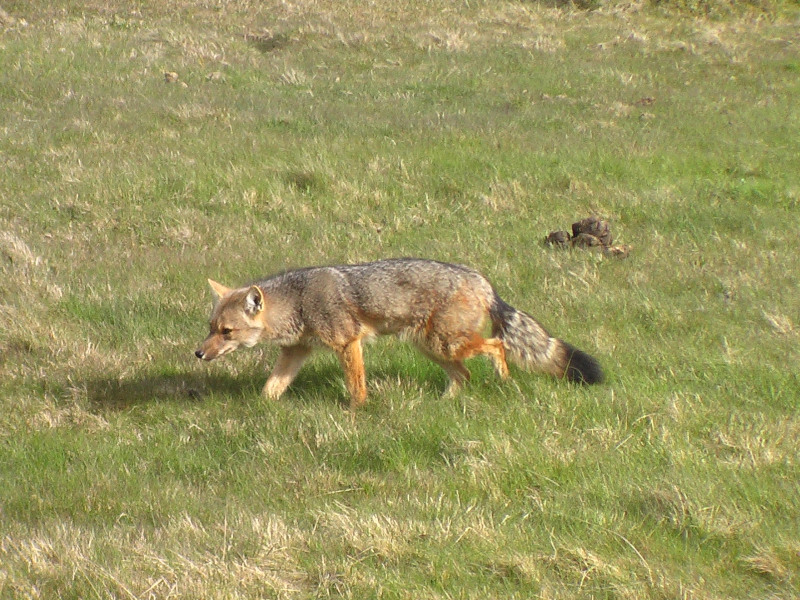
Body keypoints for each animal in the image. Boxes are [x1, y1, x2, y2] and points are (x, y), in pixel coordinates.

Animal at [197, 255, 604, 410]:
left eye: (227, 332)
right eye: (211, 329)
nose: (198, 354)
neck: (298, 300)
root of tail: (483, 281)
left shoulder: (348, 342)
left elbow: (356, 384)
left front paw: (357, 412)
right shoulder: (296, 352)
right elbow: (271, 388)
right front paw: (261, 409)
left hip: (445, 344)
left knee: (496, 345)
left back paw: (504, 382)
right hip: (432, 348)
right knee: (465, 374)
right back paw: (444, 403)